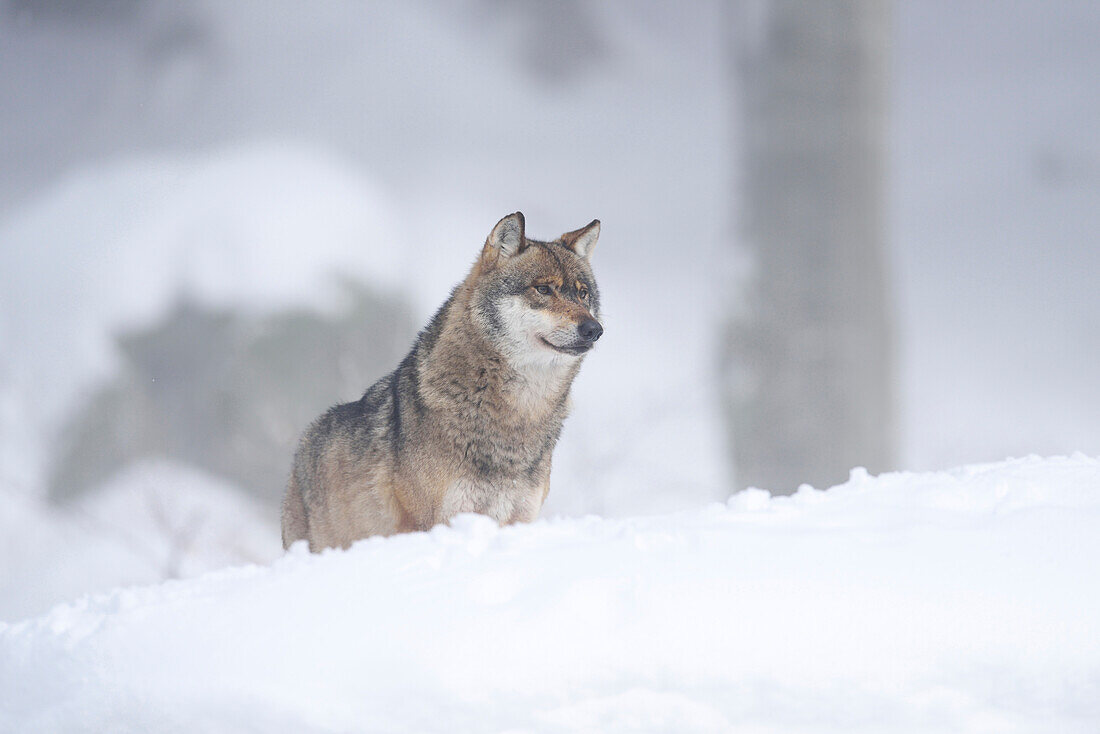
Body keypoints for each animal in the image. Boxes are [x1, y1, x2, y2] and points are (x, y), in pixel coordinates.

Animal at [277, 212, 602, 550]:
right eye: (543, 289)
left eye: (582, 294)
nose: (594, 329)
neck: (517, 418)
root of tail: (302, 445)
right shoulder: (432, 522)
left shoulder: (518, 518)